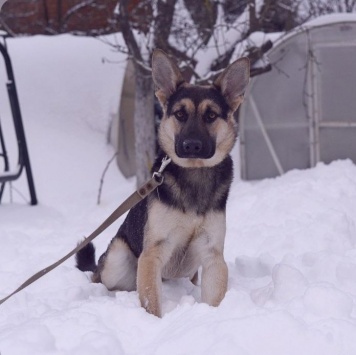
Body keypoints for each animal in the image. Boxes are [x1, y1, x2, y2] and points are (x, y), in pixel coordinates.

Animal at [76, 48, 249, 318]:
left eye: (211, 115)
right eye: (180, 114)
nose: (191, 146)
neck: (194, 174)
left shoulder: (212, 256)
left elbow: (214, 297)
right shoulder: (152, 253)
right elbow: (151, 302)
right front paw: (154, 323)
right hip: (117, 260)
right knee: (100, 277)